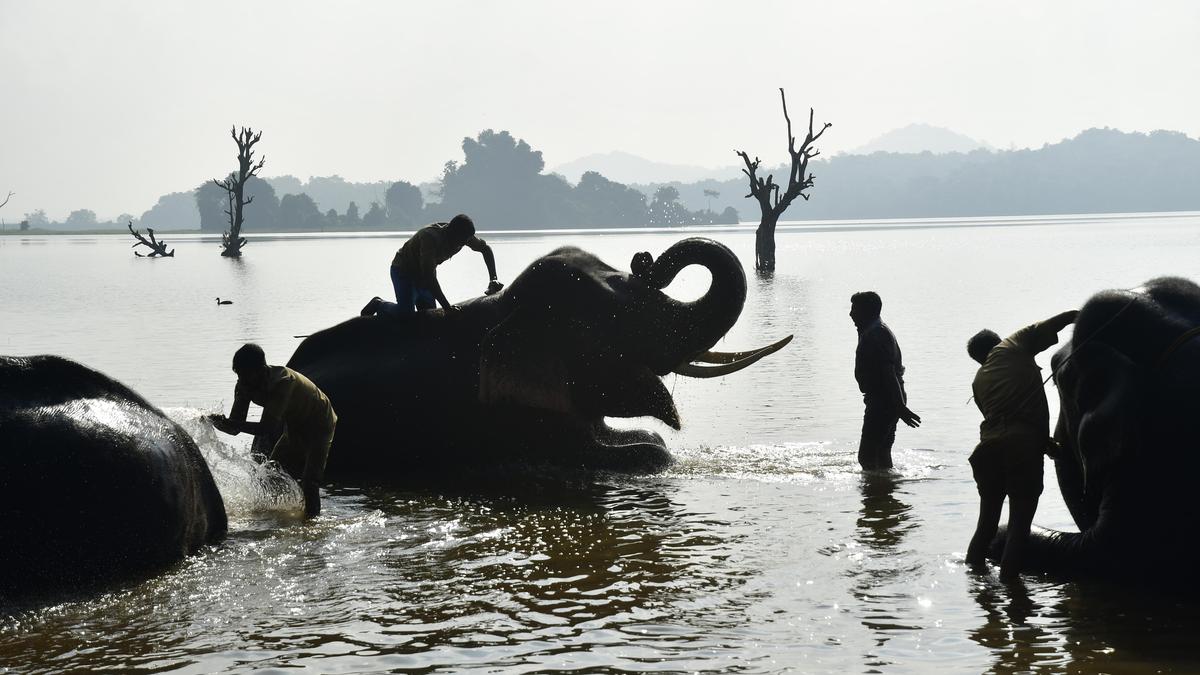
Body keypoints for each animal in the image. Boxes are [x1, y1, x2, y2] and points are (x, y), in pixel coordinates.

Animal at [280, 237, 790, 480]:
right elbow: (642, 453)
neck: (507, 313)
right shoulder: (509, 417)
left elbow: (643, 438)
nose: (647, 260)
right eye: (612, 317)